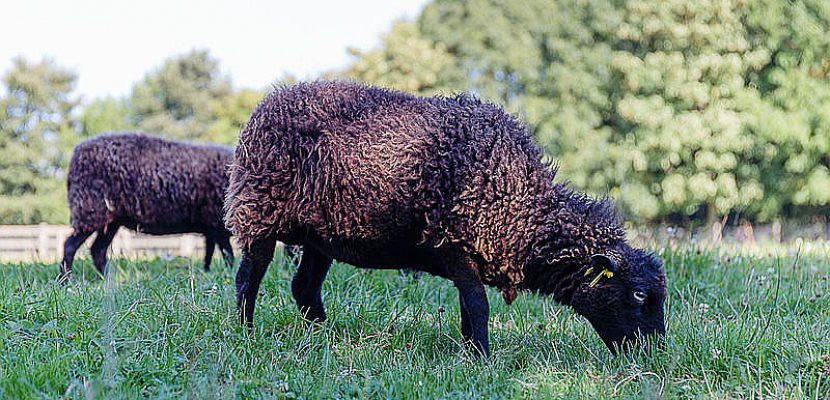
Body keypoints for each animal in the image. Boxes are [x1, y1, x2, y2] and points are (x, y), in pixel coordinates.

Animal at [60, 133, 236, 280]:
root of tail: (76, 155)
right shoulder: (217, 224)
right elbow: (228, 254)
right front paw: (228, 274)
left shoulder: (211, 227)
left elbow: (209, 254)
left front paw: (208, 273)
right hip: (89, 209)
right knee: (70, 246)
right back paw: (66, 281)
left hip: (110, 220)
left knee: (98, 250)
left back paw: (107, 281)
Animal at [224, 81, 668, 356]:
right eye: (639, 294)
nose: (656, 356)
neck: (523, 208)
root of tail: (267, 103)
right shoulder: (457, 245)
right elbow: (479, 306)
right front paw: (484, 359)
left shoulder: (468, 255)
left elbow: (467, 311)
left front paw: (472, 351)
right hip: (259, 212)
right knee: (249, 278)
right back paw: (245, 335)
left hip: (320, 235)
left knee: (304, 288)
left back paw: (323, 338)